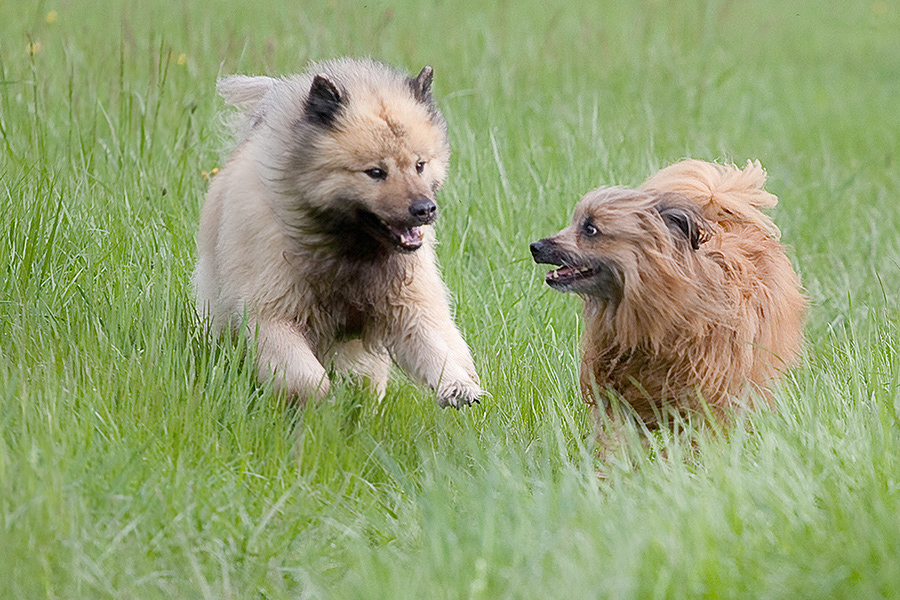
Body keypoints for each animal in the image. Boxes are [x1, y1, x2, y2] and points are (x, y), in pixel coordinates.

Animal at [192, 58, 482, 408]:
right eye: (376, 172)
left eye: (419, 165)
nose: (425, 209)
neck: (351, 250)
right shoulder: (272, 316)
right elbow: (308, 378)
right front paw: (321, 402)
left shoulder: (405, 307)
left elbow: (433, 347)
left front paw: (457, 385)